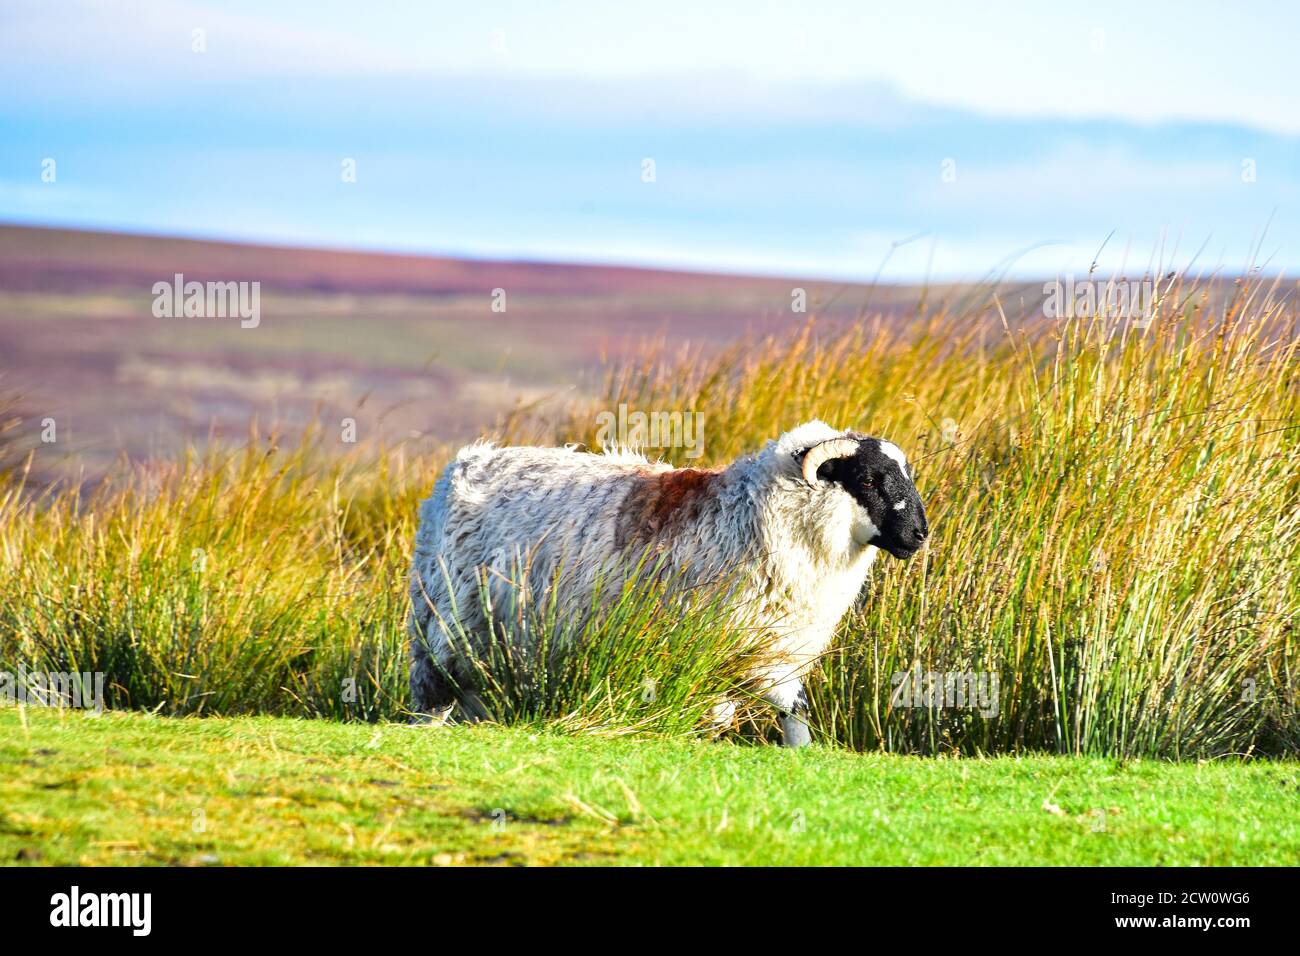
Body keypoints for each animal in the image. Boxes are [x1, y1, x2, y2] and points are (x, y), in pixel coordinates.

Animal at [405, 421, 925, 749]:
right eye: (869, 479)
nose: (920, 534)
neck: (753, 514)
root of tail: (464, 464)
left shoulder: (772, 647)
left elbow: (783, 710)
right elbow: (773, 708)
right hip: (446, 618)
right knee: (435, 685)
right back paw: (426, 726)